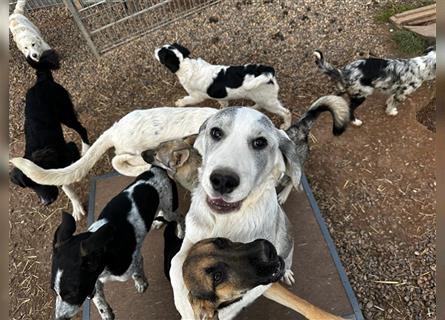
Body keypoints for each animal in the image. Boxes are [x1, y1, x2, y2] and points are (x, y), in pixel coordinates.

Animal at [10, 50, 90, 220]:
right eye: (29, 186)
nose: (46, 202)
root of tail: (41, 80)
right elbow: (66, 187)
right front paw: (77, 207)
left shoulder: (68, 149)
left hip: (65, 115)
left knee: (82, 129)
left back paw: (86, 149)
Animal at [52, 168, 182, 320]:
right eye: (54, 291)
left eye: (73, 292)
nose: (59, 318)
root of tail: (154, 170)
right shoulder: (94, 281)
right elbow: (99, 300)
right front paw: (105, 313)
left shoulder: (133, 261)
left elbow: (137, 272)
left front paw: (141, 283)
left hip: (170, 210)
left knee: (179, 217)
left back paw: (181, 232)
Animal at [154, 43, 294, 129]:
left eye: (160, 54)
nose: (154, 49)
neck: (187, 65)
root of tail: (267, 70)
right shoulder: (221, 97)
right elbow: (223, 104)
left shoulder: (195, 97)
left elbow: (186, 100)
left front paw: (179, 103)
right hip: (261, 97)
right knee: (260, 104)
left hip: (269, 101)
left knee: (286, 112)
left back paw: (286, 125)